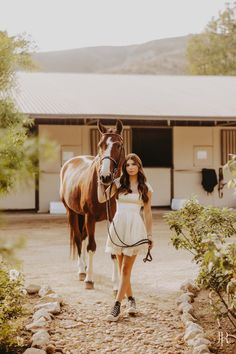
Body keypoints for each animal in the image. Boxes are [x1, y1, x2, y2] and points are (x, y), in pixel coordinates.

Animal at [60, 120, 124, 290]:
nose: (105, 177)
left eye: (118, 145)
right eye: (100, 144)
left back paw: (85, 267)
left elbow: (113, 249)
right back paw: (82, 271)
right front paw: (89, 280)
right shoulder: (90, 217)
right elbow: (91, 246)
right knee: (77, 238)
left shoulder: (112, 218)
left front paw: (116, 285)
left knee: (82, 237)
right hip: (72, 213)